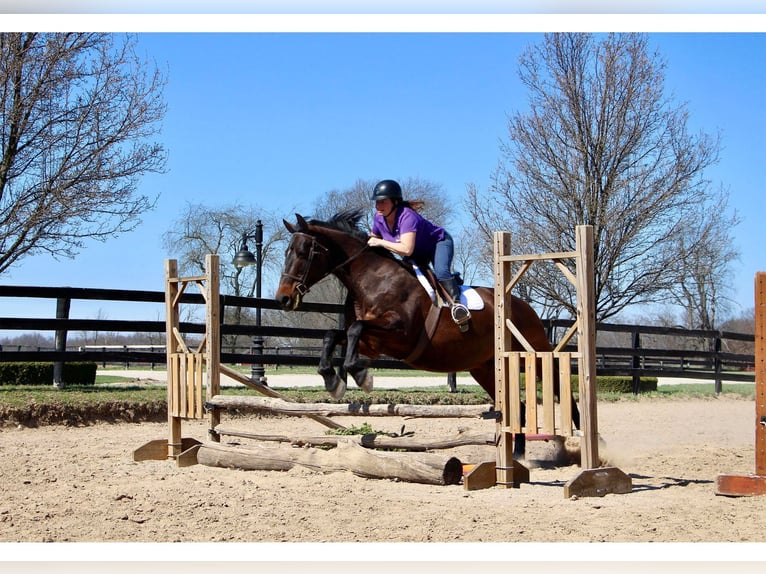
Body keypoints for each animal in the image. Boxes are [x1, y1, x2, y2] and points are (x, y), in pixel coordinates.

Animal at [272, 210, 580, 440]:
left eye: (304, 252)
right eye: (287, 251)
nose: (283, 299)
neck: (370, 279)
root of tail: (523, 306)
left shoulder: (400, 334)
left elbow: (354, 329)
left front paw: (361, 376)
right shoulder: (372, 344)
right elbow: (334, 334)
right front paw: (332, 379)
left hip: (533, 353)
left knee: (558, 385)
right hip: (485, 368)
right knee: (519, 407)